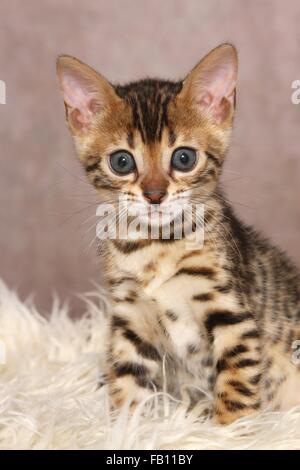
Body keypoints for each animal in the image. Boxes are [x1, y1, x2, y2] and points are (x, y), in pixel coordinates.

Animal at [56, 45, 300, 426]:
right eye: (122, 162)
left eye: (184, 158)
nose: (154, 195)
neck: (156, 248)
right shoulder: (130, 322)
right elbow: (126, 383)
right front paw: (124, 429)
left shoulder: (234, 316)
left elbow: (236, 385)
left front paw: (231, 431)